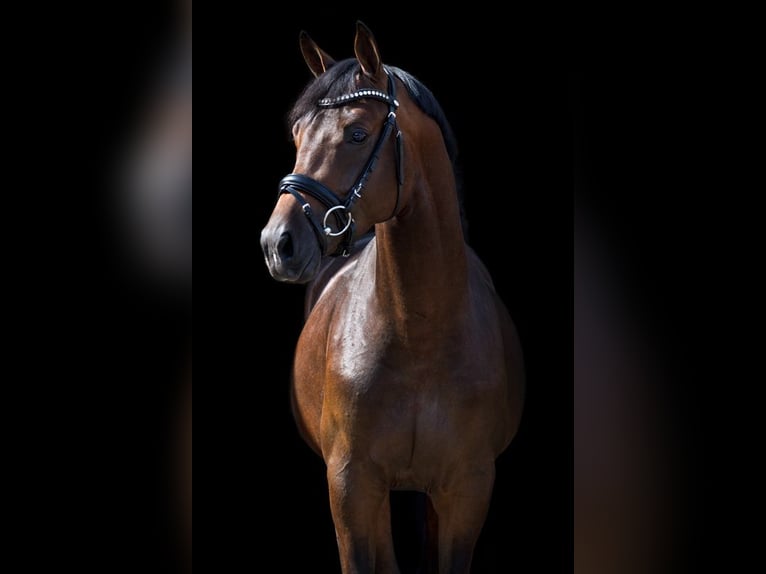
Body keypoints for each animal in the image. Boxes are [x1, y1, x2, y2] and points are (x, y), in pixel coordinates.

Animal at [260, 22, 524, 574]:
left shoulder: (468, 490)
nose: (278, 244)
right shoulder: (351, 485)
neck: (419, 333)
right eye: (297, 135)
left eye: (357, 133)